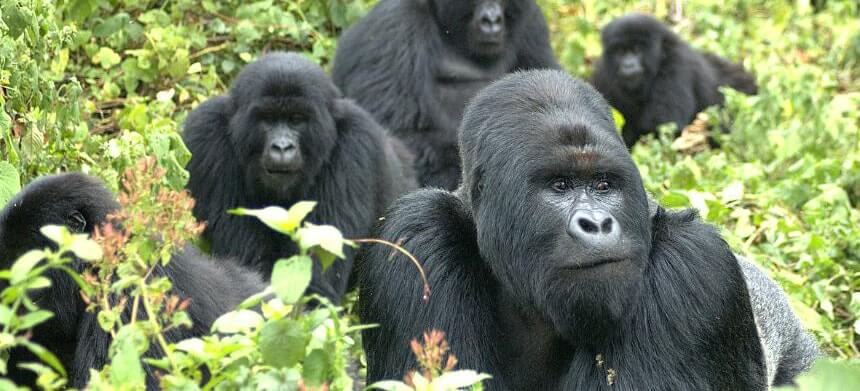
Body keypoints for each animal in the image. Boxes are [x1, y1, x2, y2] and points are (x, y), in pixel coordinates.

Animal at [183, 52, 414, 304]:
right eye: (268, 119)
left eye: (296, 119)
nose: (282, 147)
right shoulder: (207, 135)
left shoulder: (356, 143)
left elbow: (315, 283)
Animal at [596, 13, 756, 148]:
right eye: (620, 51)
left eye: (637, 50)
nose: (628, 65)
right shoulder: (603, 74)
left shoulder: (676, 65)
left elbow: (663, 125)